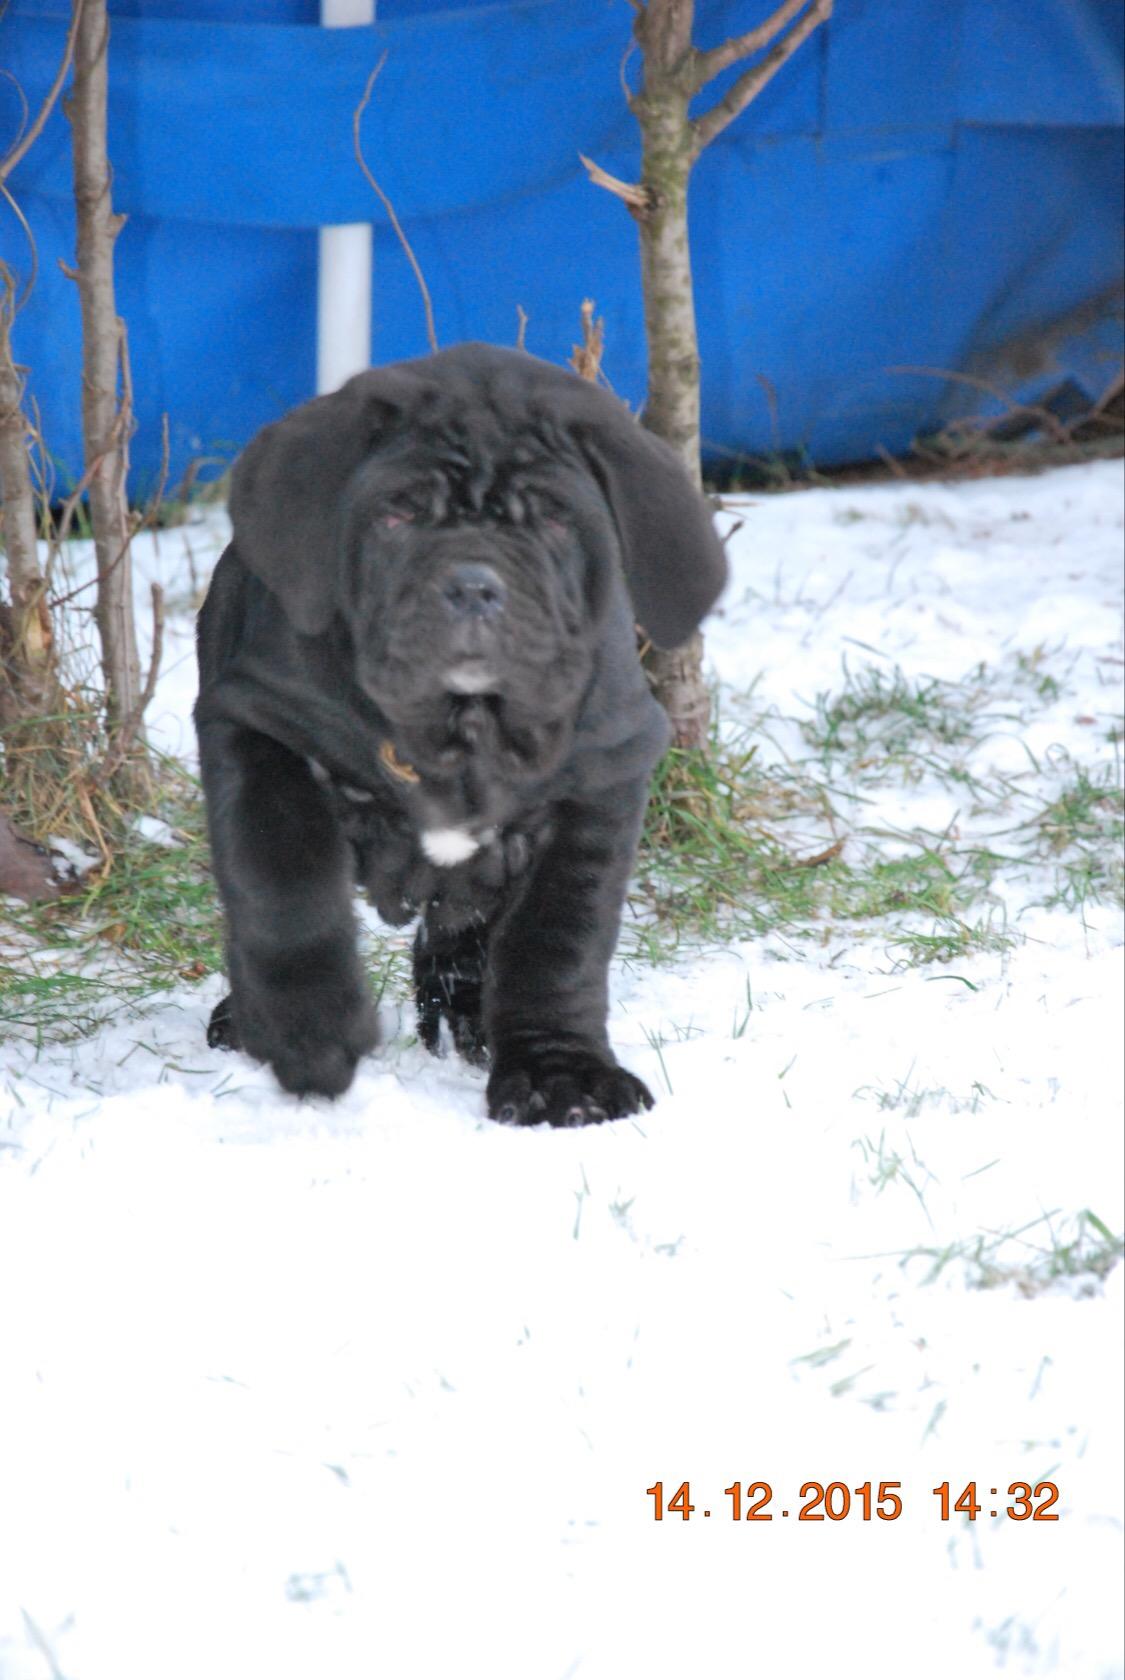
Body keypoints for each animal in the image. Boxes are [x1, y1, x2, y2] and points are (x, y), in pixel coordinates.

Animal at [196, 337, 732, 1128]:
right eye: (398, 514)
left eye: (553, 519)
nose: (475, 585)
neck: (462, 731)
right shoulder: (256, 726)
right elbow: (280, 887)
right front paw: (310, 1029)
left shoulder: (600, 785)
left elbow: (557, 942)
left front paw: (559, 1072)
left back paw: (469, 1015)